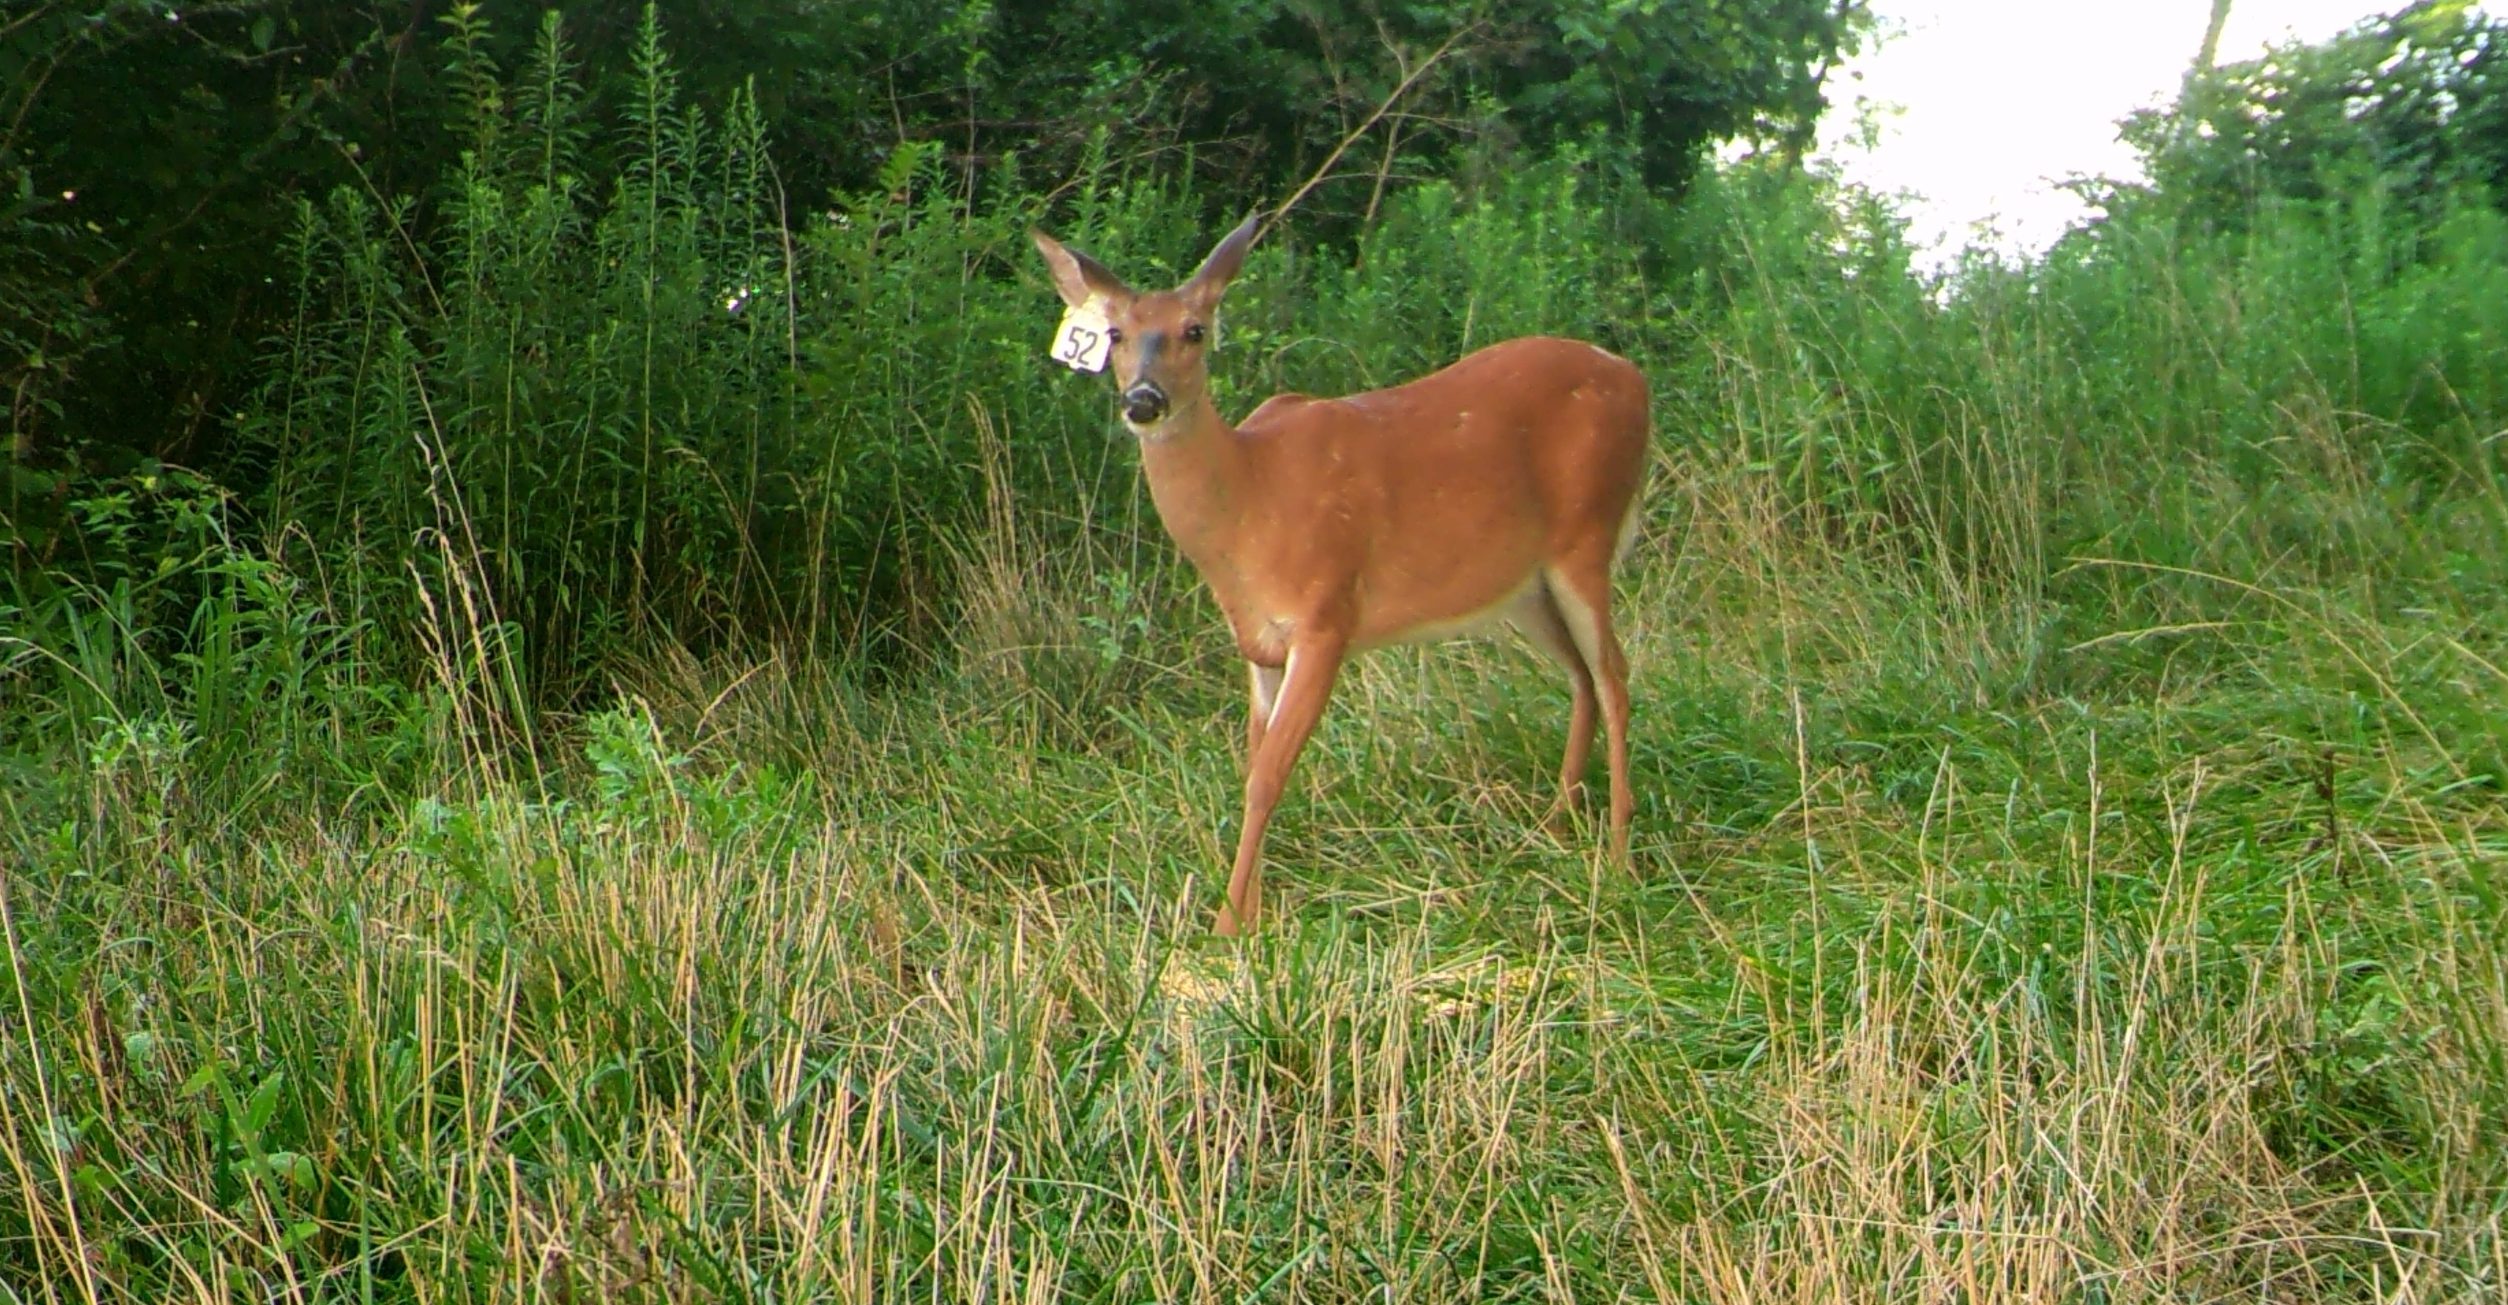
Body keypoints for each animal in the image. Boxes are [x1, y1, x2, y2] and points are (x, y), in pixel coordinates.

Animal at [1028, 219, 1655, 938]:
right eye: (1115, 334)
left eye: (1195, 329)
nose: (1143, 401)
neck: (1251, 504)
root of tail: (1634, 377)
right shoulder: (1258, 644)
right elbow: (1253, 763)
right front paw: (1250, 907)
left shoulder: (1326, 614)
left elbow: (1268, 776)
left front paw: (1229, 923)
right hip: (1525, 585)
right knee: (1582, 675)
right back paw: (1555, 824)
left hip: (1588, 533)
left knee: (1615, 676)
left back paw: (1618, 855)